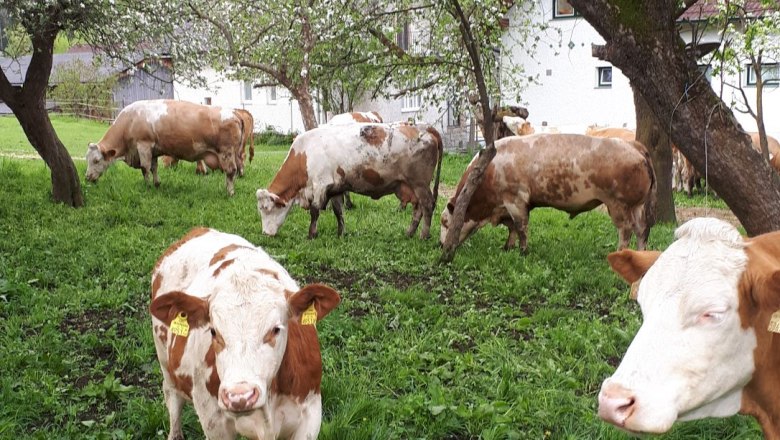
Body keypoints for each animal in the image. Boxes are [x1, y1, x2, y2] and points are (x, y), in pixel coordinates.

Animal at [85, 99, 243, 196]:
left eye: (96, 160)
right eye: (87, 159)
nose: (87, 177)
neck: (130, 121)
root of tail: (234, 113)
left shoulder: (143, 145)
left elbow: (145, 168)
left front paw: (147, 187)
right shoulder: (153, 151)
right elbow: (154, 167)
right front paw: (156, 184)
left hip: (226, 152)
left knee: (231, 171)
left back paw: (230, 192)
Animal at [150, 227, 340, 440]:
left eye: (275, 329)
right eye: (213, 331)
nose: (240, 396)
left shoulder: (310, 415)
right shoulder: (213, 422)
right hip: (165, 361)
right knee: (173, 400)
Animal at [256, 122, 443, 239]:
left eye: (267, 209)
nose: (265, 233)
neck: (304, 153)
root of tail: (424, 127)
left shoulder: (320, 185)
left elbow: (315, 211)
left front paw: (311, 234)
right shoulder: (336, 188)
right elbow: (338, 211)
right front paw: (341, 233)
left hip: (419, 184)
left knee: (427, 206)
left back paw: (423, 235)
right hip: (413, 187)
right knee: (418, 208)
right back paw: (410, 233)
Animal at [440, 133, 656, 252]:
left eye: (445, 222)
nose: (441, 245)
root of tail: (633, 145)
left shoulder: (515, 200)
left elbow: (520, 227)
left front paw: (523, 250)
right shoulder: (506, 206)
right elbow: (511, 227)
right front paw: (508, 247)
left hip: (618, 205)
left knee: (626, 230)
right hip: (636, 206)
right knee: (642, 230)